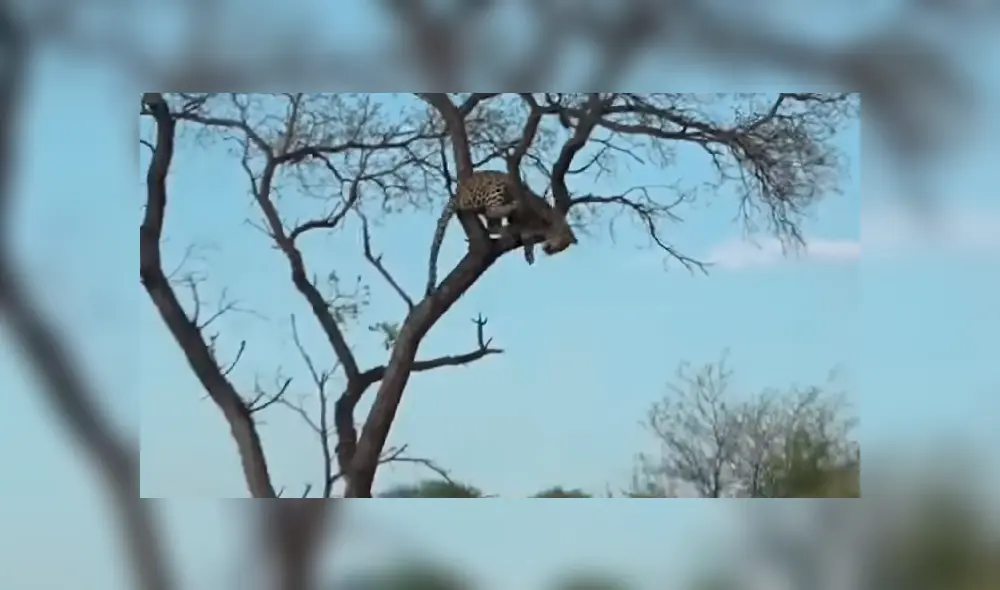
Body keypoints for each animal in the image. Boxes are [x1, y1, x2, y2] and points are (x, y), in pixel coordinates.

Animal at [426, 170, 577, 294]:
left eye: (560, 250)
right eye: (561, 245)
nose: (549, 252)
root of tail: (458, 192)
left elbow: (526, 235)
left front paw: (528, 250)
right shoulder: (524, 215)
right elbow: (522, 225)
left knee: (492, 223)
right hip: (496, 186)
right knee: (491, 211)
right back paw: (511, 209)